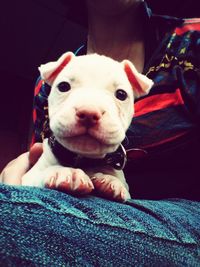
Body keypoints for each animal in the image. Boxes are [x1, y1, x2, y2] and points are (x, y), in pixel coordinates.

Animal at [21, 52, 153, 202]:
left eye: (121, 94)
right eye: (63, 86)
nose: (89, 112)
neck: (82, 158)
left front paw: (111, 181)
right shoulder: (29, 177)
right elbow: (41, 173)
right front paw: (64, 172)